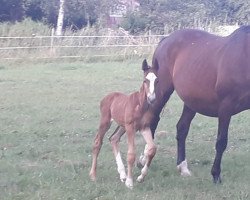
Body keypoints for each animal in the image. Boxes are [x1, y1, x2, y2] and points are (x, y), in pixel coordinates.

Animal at [89, 59, 158, 189]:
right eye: (145, 80)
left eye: (157, 80)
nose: (152, 99)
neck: (140, 105)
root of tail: (107, 96)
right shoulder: (131, 127)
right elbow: (131, 154)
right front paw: (130, 182)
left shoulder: (144, 127)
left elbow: (152, 148)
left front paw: (141, 177)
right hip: (106, 122)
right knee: (97, 142)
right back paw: (93, 175)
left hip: (122, 126)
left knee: (113, 139)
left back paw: (122, 174)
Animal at [138, 25, 249, 184]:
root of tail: (166, 40)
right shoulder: (226, 107)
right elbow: (221, 142)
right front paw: (216, 174)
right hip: (161, 92)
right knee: (152, 121)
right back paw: (144, 159)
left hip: (191, 101)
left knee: (182, 128)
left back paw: (182, 167)